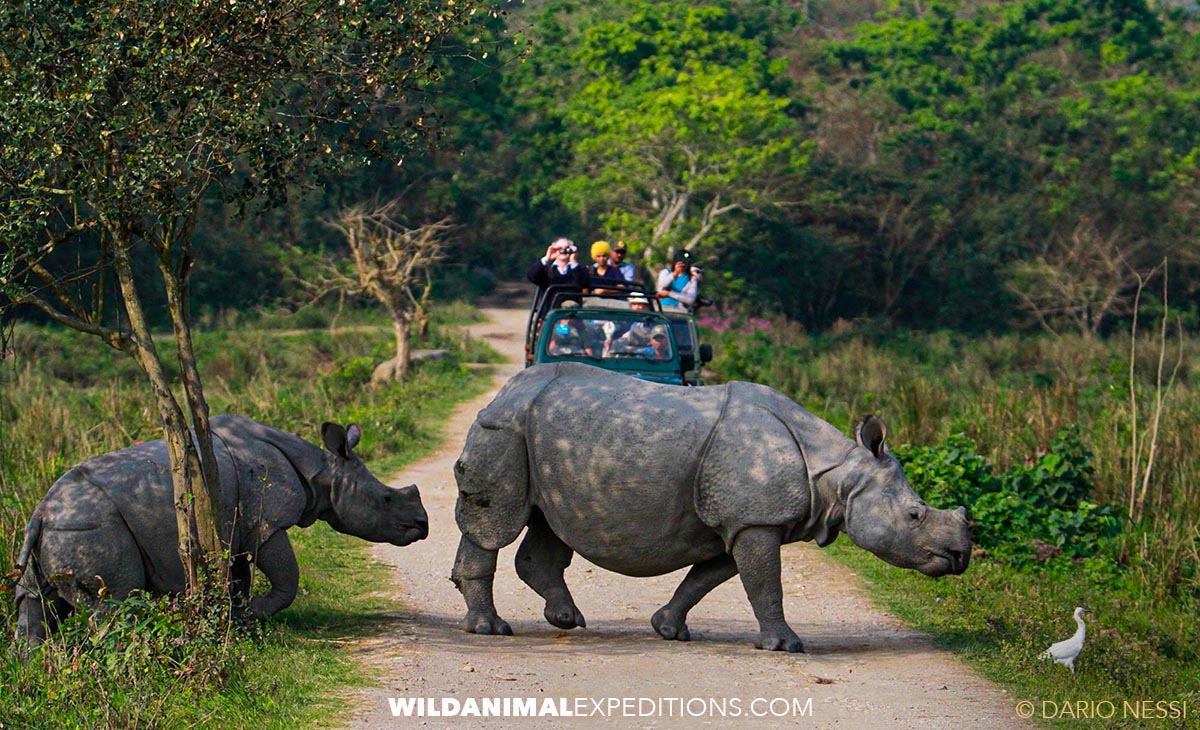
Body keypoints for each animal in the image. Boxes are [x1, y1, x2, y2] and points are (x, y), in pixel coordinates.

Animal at [15, 415, 428, 645]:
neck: (323, 469)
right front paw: (253, 614)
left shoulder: (235, 527)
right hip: (91, 528)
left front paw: (238, 618)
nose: (422, 526)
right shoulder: (266, 522)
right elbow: (287, 579)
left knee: (36, 604)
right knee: (117, 603)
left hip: (61, 529)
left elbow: (240, 577)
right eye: (386, 499)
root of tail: (42, 512)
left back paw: (37, 667)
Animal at [452, 362, 972, 652]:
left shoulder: (738, 521)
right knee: (497, 521)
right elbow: (765, 583)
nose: (961, 556)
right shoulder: (754, 519)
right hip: (506, 428)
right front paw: (786, 646)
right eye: (914, 516)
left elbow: (708, 577)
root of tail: (505, 389)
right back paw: (491, 630)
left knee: (548, 522)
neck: (838, 474)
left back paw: (566, 620)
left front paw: (668, 628)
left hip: (543, 436)